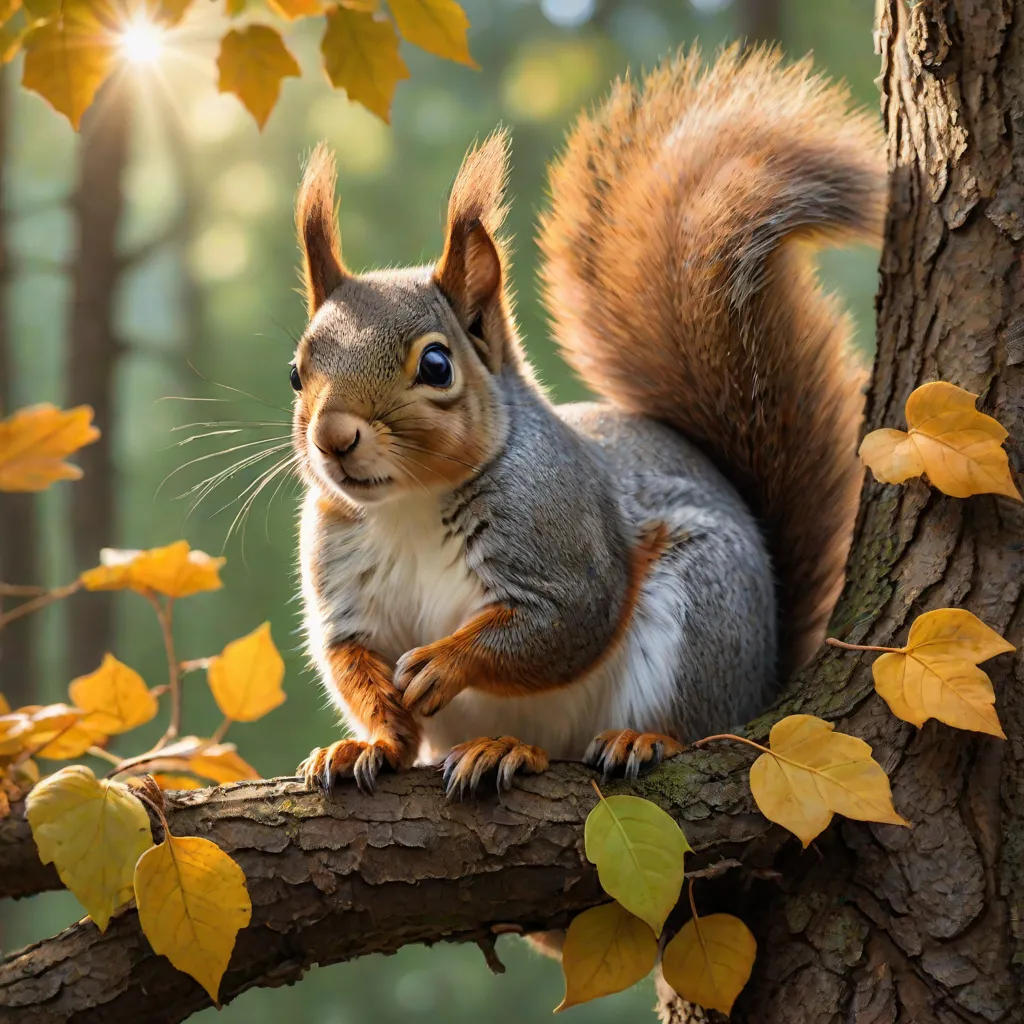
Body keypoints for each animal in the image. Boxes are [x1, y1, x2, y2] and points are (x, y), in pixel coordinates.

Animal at [291, 45, 884, 797]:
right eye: (295, 373)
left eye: (436, 365)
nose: (333, 439)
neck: (410, 505)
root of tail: (764, 681)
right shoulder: (344, 584)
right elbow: (356, 666)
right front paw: (368, 743)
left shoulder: (563, 539)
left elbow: (557, 627)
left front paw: (442, 664)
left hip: (702, 615)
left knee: (690, 726)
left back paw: (606, 741)